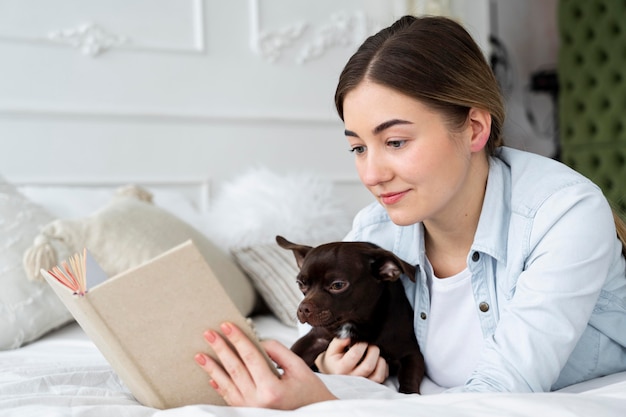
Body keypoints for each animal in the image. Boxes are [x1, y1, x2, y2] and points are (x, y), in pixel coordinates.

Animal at [276, 236, 424, 392]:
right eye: (300, 284)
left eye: (338, 285)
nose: (303, 308)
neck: (352, 322)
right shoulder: (315, 339)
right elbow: (293, 354)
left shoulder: (411, 353)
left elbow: (409, 377)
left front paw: (409, 392)